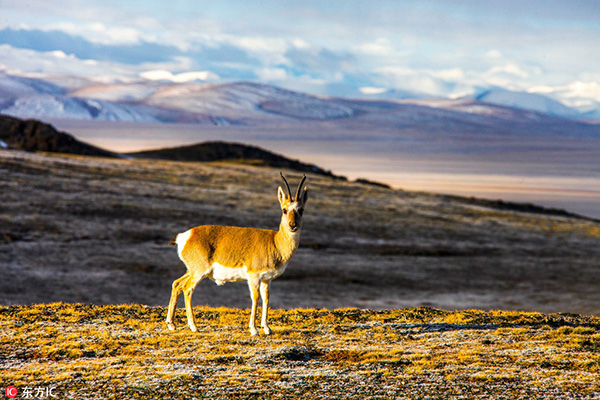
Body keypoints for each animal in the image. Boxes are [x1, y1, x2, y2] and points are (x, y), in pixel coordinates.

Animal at [168, 173, 310, 336]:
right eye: (284, 210)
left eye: (301, 210)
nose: (293, 225)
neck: (274, 242)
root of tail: (186, 235)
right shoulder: (253, 277)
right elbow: (255, 298)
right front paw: (254, 329)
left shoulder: (267, 280)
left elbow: (266, 299)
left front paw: (267, 328)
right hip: (199, 273)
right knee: (187, 289)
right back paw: (193, 326)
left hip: (191, 271)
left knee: (177, 284)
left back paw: (171, 324)